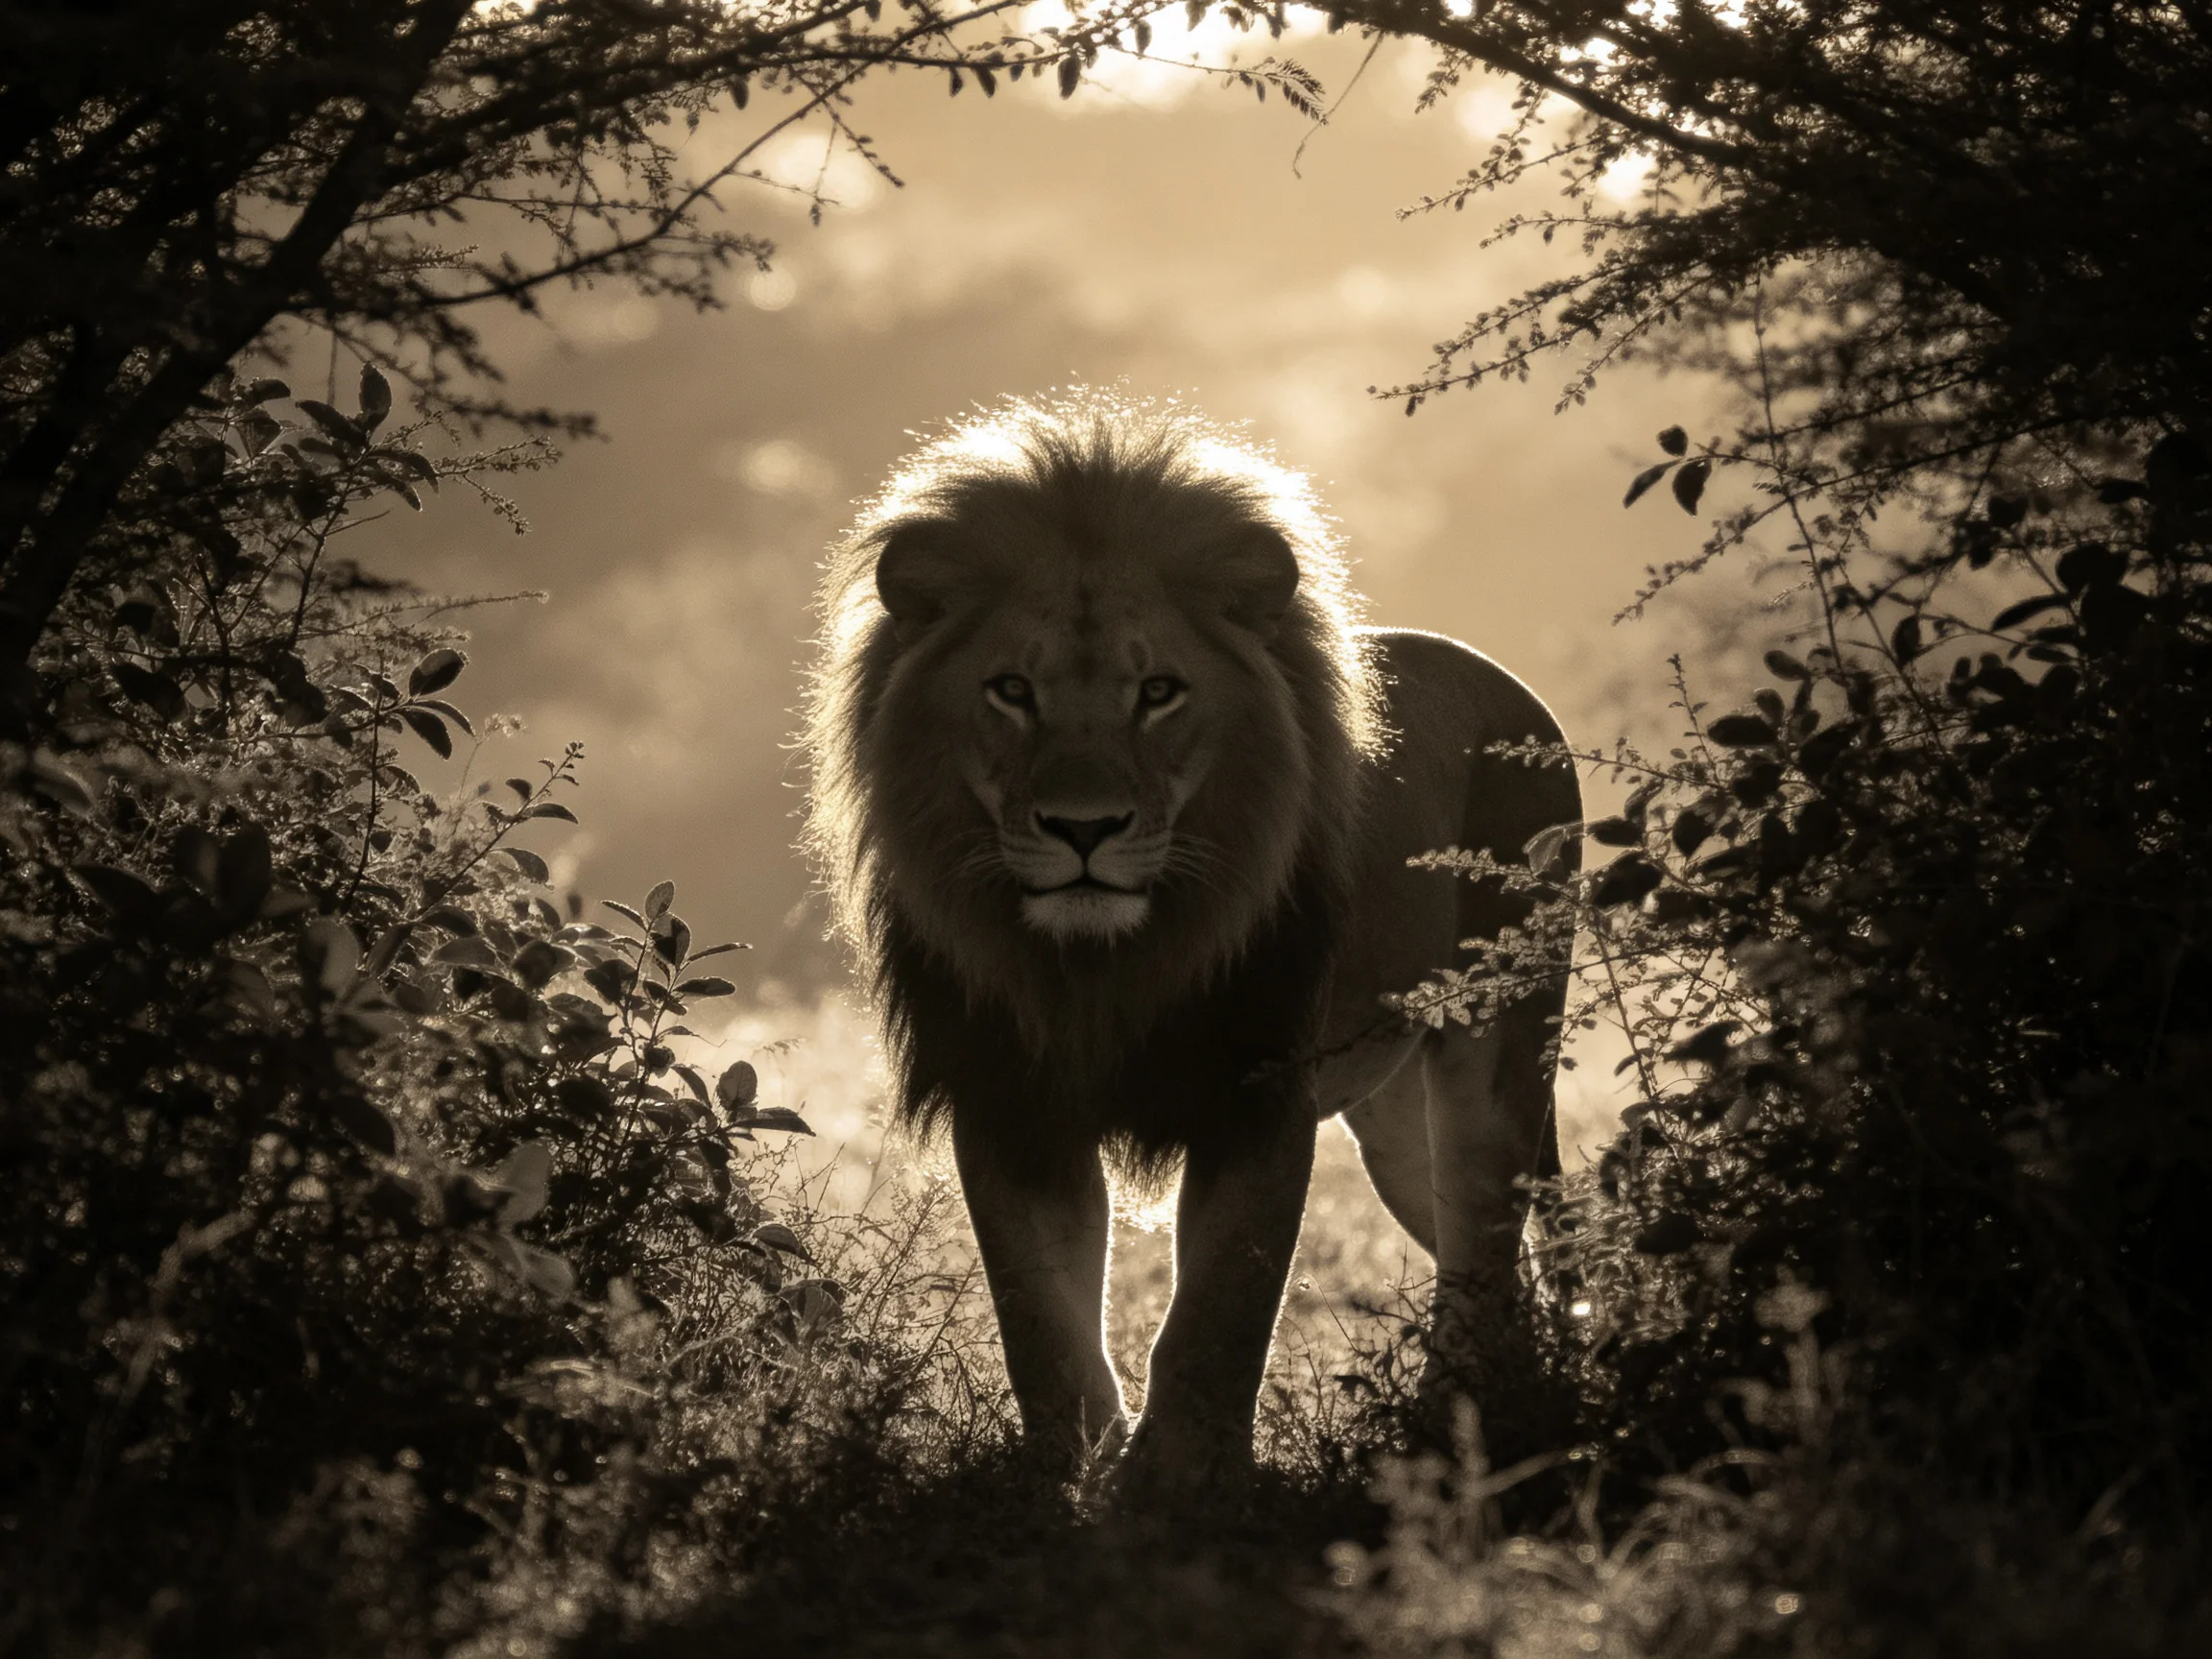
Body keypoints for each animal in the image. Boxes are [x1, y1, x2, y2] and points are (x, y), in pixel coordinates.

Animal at [806, 391, 1580, 1494]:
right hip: (1391, 1118)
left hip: (1497, 1046)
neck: (1102, 967)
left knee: (1484, 1240)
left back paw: (1457, 1428)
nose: (1082, 828)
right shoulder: (1011, 1101)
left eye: (1159, 692)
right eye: (1012, 691)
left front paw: (1178, 1480)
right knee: (1482, 1252)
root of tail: (1517, 693)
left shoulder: (1254, 1095)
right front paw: (1068, 1475)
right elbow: (1038, 1318)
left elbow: (1222, 1308)